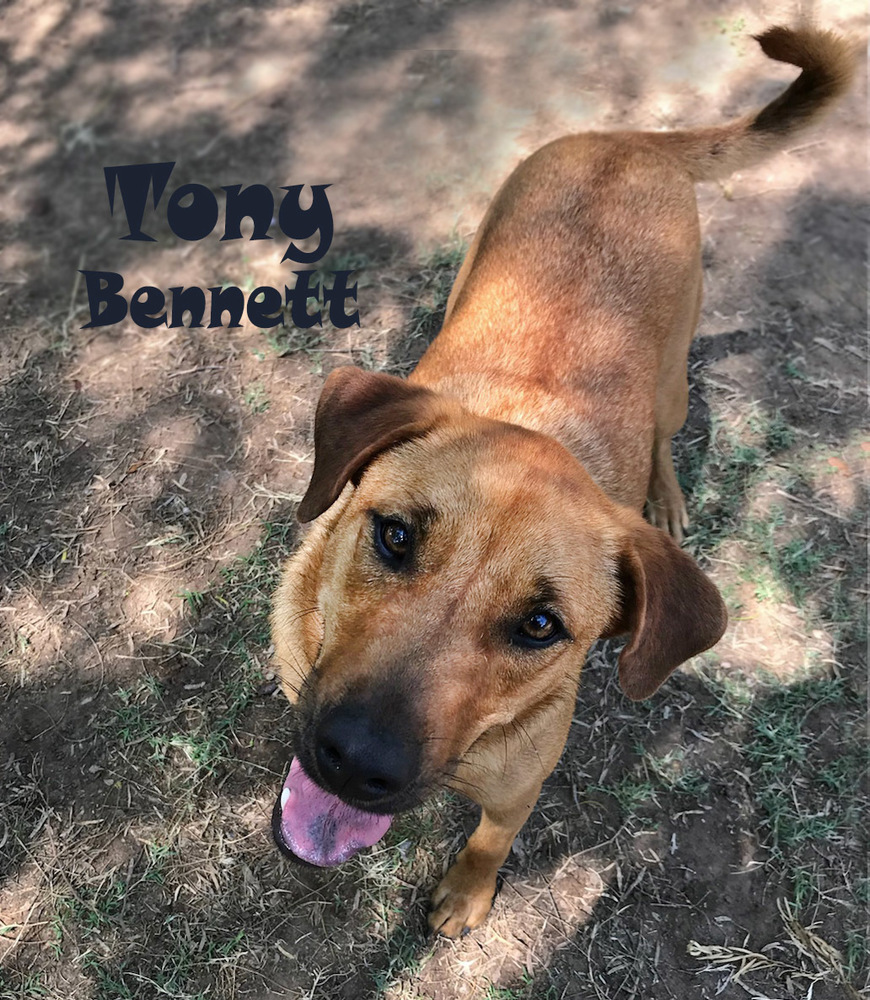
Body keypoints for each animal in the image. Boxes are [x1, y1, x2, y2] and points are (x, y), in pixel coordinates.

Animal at [270, 27, 856, 940]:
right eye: (394, 535)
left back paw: (667, 498)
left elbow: (488, 843)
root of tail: (625, 141)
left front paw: (466, 897)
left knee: (665, 434)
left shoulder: (517, 791)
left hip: (672, 378)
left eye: (541, 626)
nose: (354, 761)